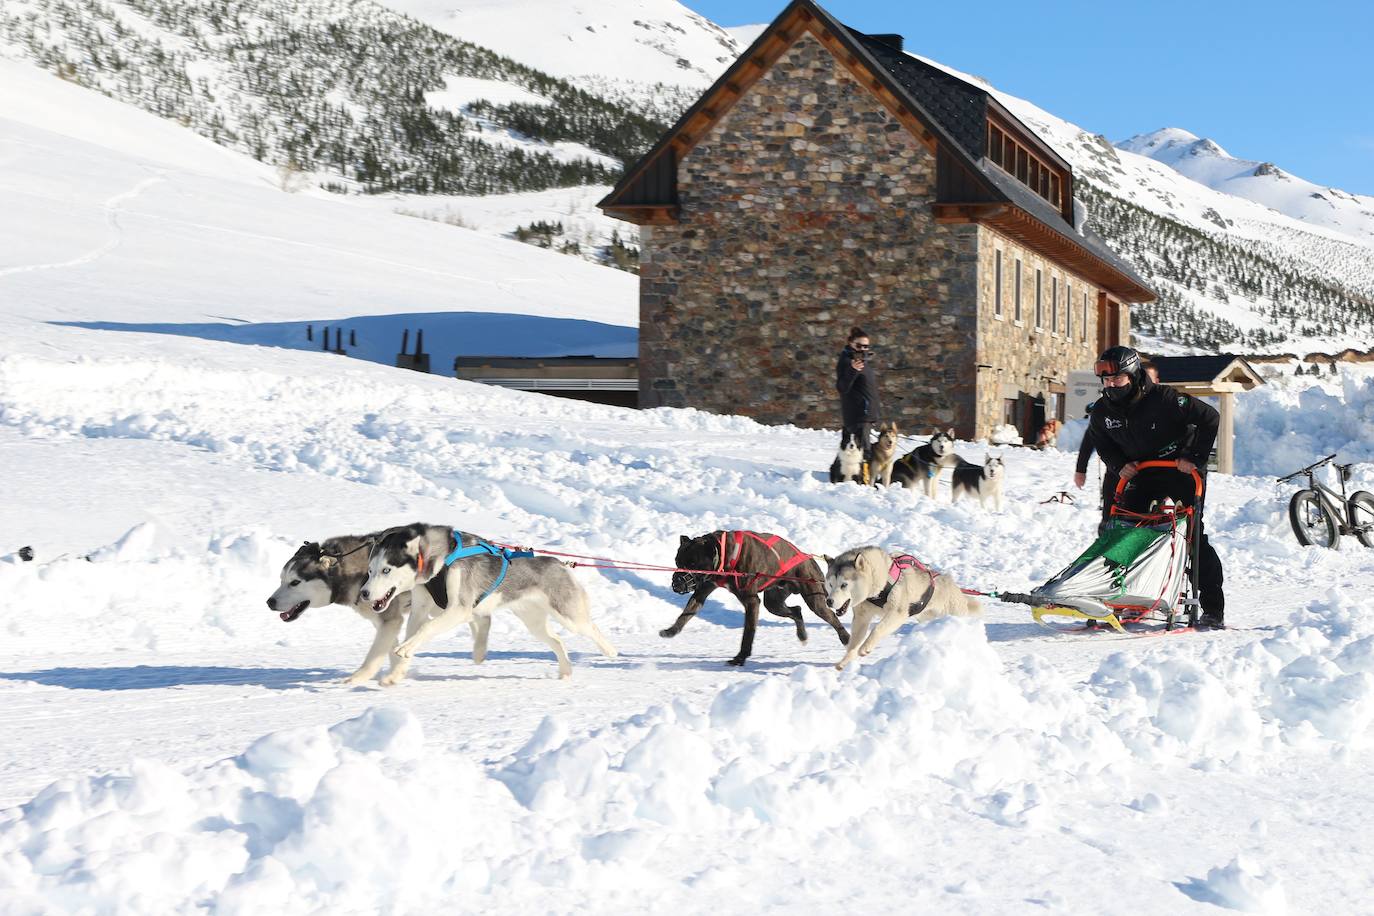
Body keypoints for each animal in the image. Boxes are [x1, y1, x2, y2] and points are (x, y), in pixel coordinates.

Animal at [266, 538, 417, 686]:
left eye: (295, 582)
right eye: (281, 580)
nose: (269, 602)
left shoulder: (390, 620)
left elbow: (375, 654)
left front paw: (357, 678)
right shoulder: (384, 622)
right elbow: (391, 649)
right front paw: (397, 673)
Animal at [357, 521, 615, 681]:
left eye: (386, 570)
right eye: (370, 571)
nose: (364, 593)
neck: (441, 559)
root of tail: (558, 563)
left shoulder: (459, 609)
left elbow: (428, 628)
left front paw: (404, 649)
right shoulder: (421, 609)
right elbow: (416, 634)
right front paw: (395, 673)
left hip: (570, 616)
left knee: (591, 628)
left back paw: (611, 651)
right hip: (534, 623)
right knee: (558, 641)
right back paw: (566, 671)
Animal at [665, 530, 846, 667]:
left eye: (693, 564)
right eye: (677, 562)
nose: (676, 583)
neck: (724, 553)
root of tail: (807, 558)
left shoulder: (751, 602)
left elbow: (748, 633)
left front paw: (740, 657)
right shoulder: (702, 591)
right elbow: (686, 613)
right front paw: (671, 630)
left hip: (814, 600)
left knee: (832, 617)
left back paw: (845, 637)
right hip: (773, 603)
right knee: (796, 610)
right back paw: (802, 635)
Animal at [818, 549, 983, 670]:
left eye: (844, 585)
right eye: (830, 584)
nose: (829, 601)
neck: (879, 583)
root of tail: (952, 584)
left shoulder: (897, 613)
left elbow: (877, 629)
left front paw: (866, 647)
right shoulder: (861, 618)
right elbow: (853, 642)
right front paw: (845, 661)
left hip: (954, 612)